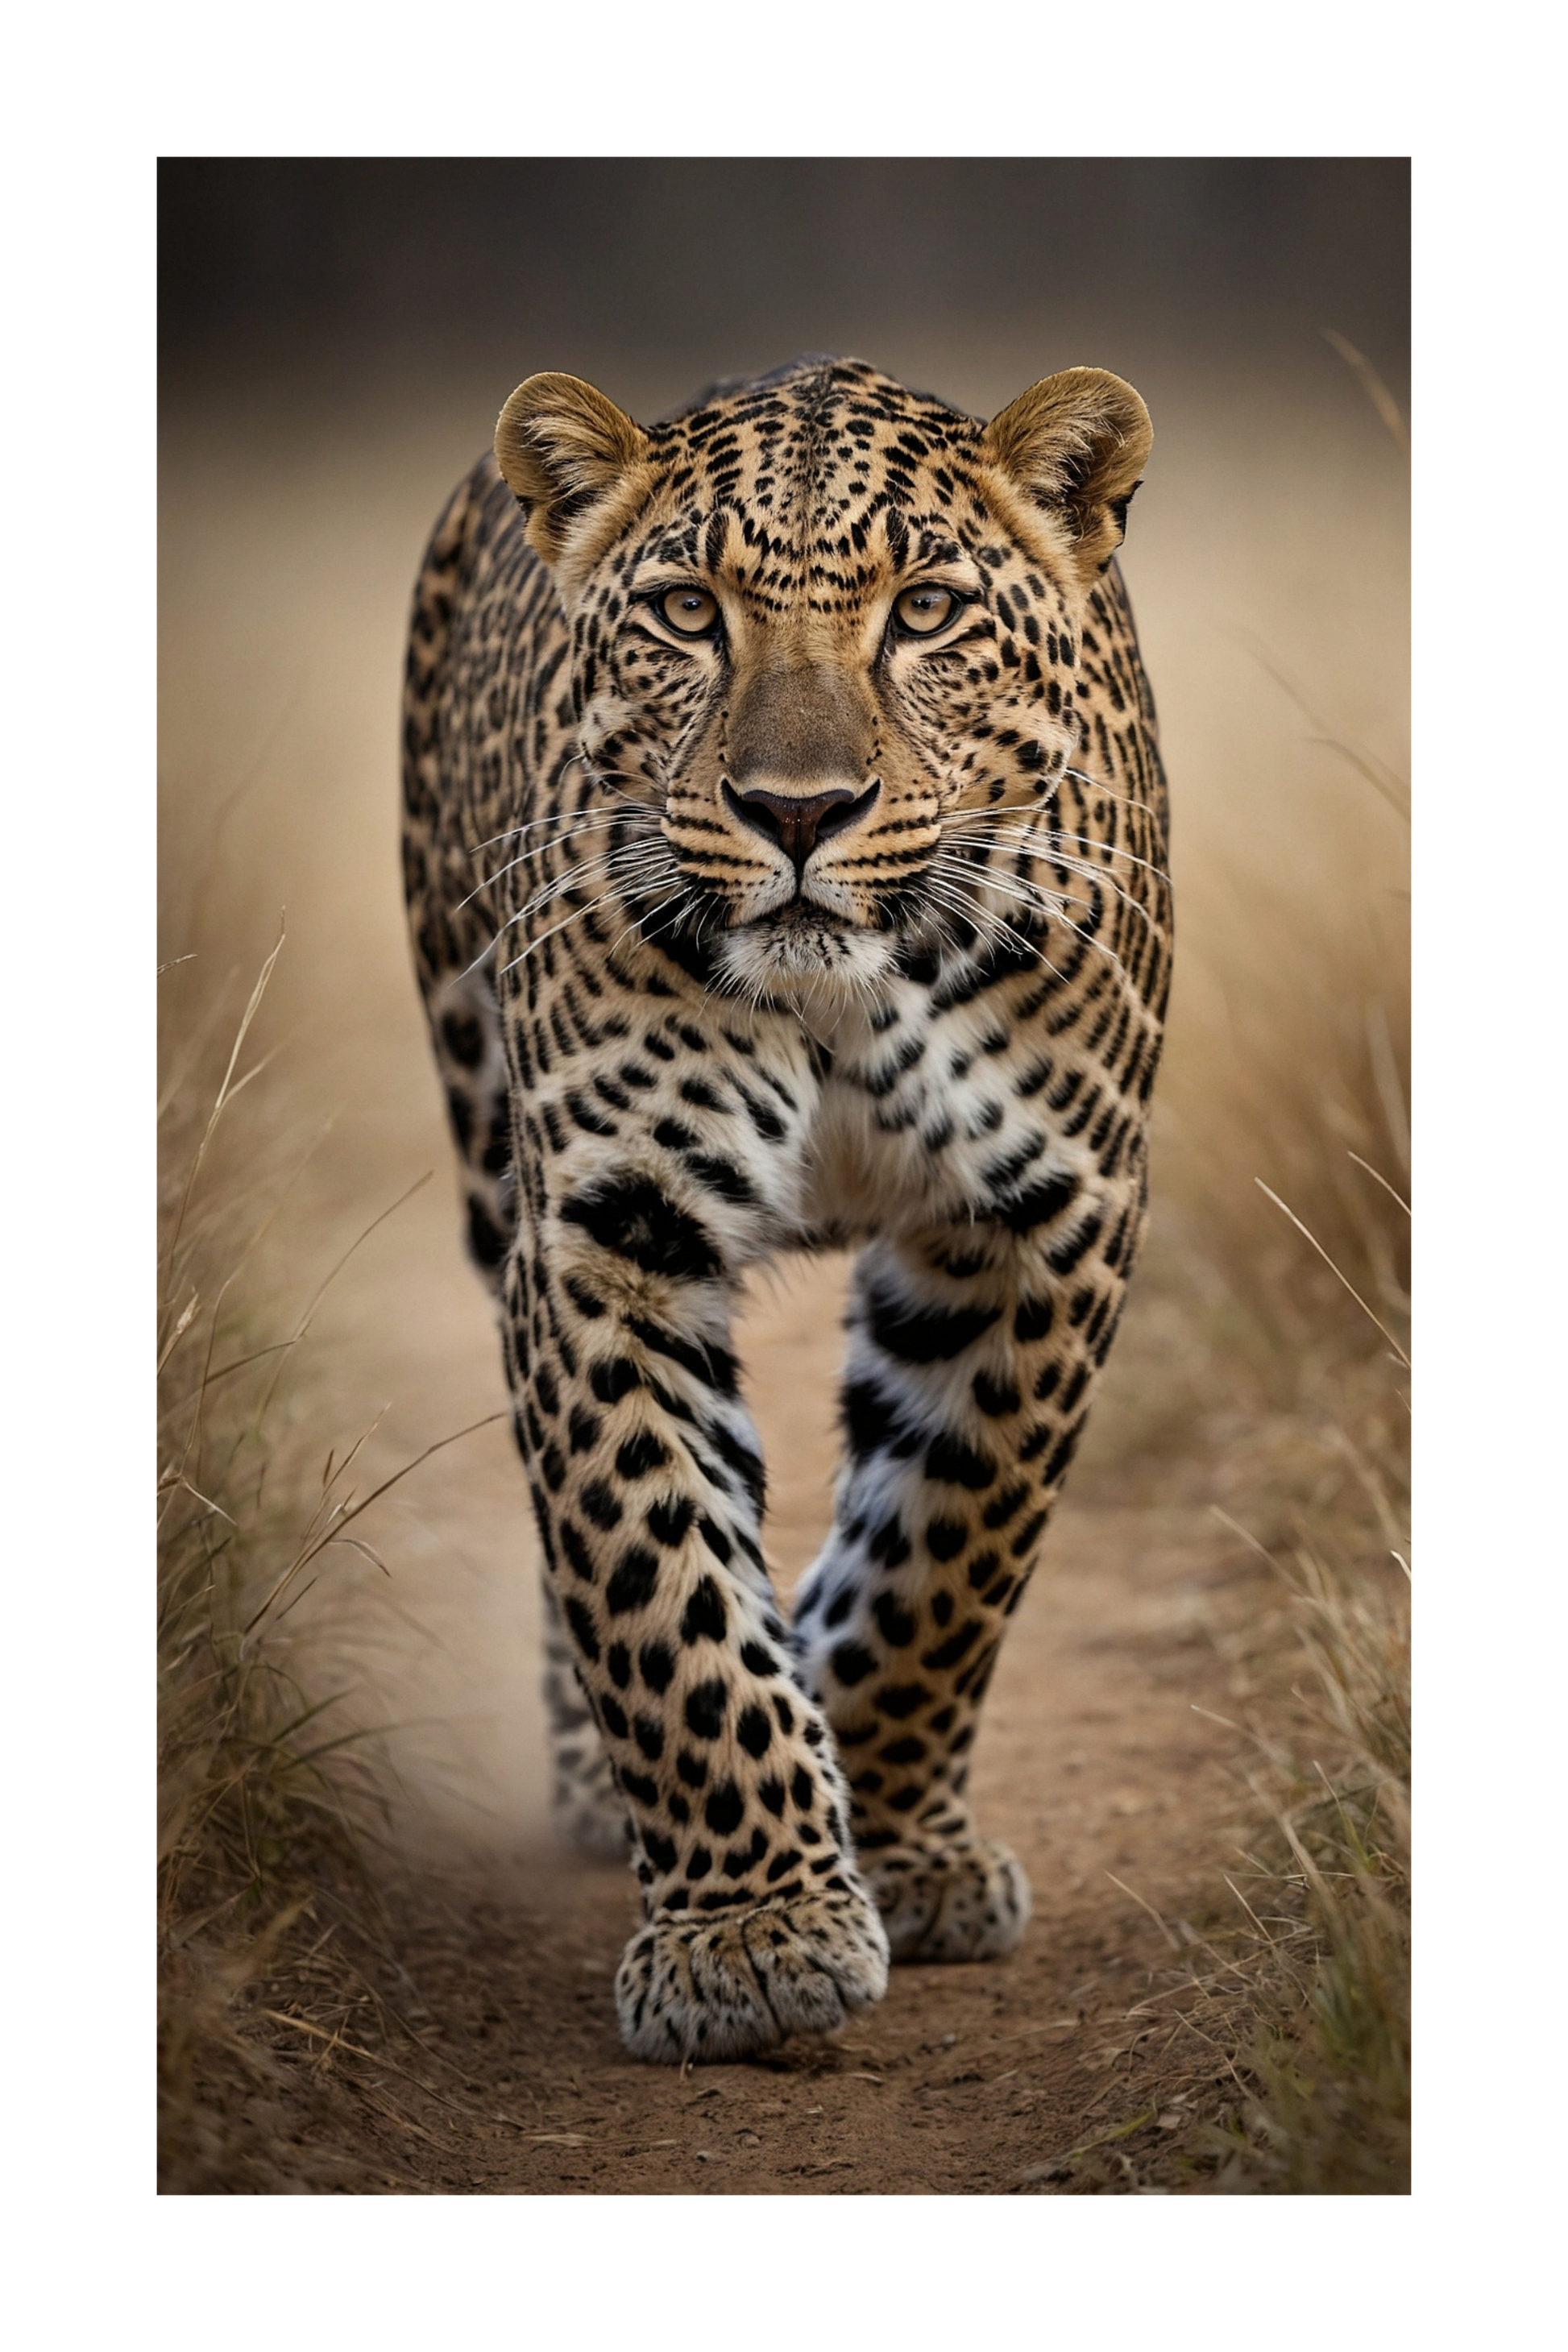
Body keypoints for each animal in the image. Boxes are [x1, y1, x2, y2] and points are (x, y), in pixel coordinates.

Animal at [401, 354, 1170, 2064]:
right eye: (688, 612)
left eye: (926, 609)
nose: (797, 810)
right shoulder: (603, 1231)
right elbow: (653, 1576)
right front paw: (750, 1934)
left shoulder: (1044, 1214)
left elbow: (949, 1547)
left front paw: (888, 1836)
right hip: (481, 1116)